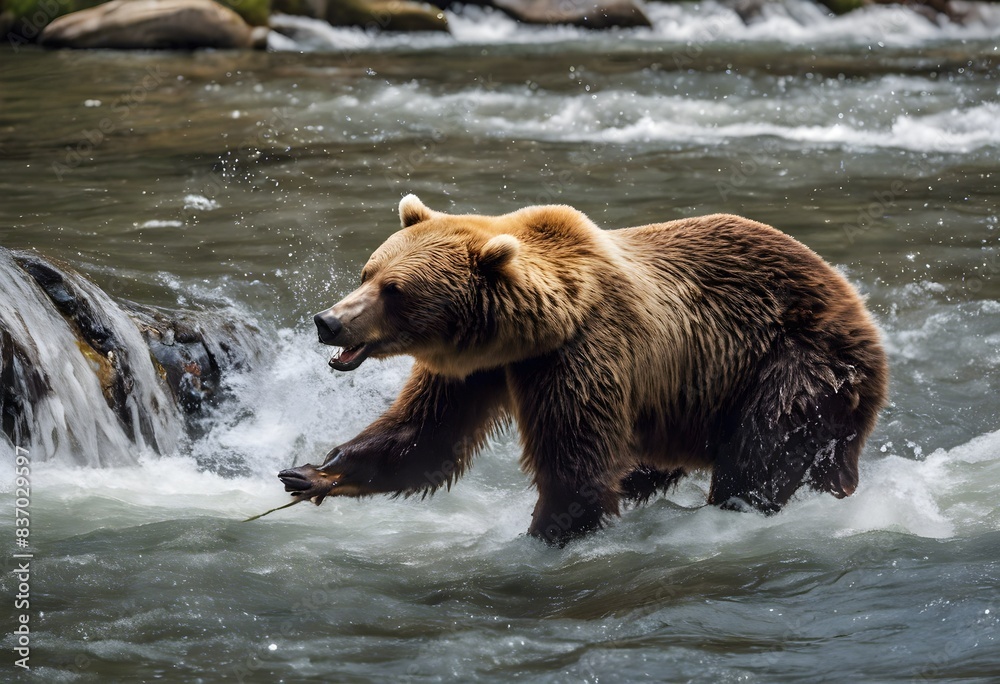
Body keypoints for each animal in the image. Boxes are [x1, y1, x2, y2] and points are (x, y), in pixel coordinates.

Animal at [279, 195, 888, 545]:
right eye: (368, 271)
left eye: (395, 290)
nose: (328, 321)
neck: (536, 327)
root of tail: (856, 305)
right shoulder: (477, 368)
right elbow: (424, 434)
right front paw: (315, 472)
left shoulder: (581, 356)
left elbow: (575, 468)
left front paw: (542, 536)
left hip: (800, 363)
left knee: (762, 453)